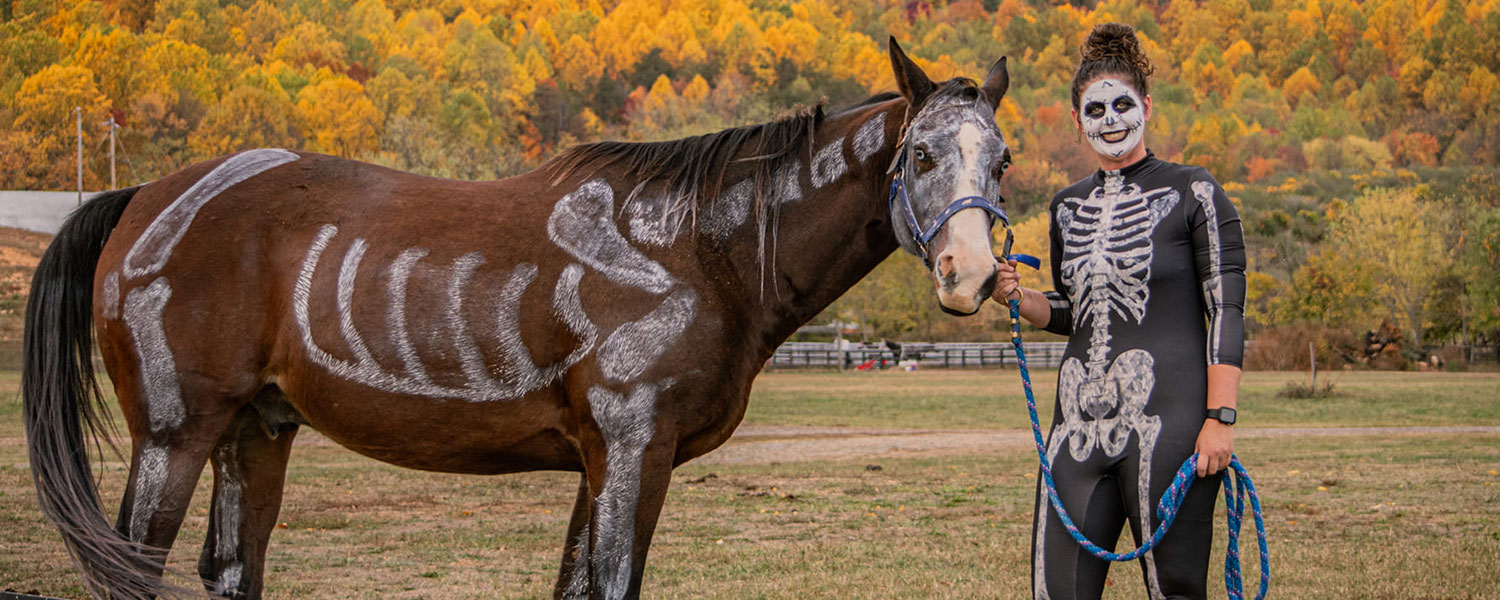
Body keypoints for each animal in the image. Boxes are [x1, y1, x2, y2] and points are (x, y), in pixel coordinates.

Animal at [23, 39, 1014, 597]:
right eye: (922, 154)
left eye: (1000, 160)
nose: (971, 274)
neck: (696, 248)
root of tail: (144, 195)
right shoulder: (632, 450)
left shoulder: (601, 462)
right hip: (175, 436)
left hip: (255, 431)